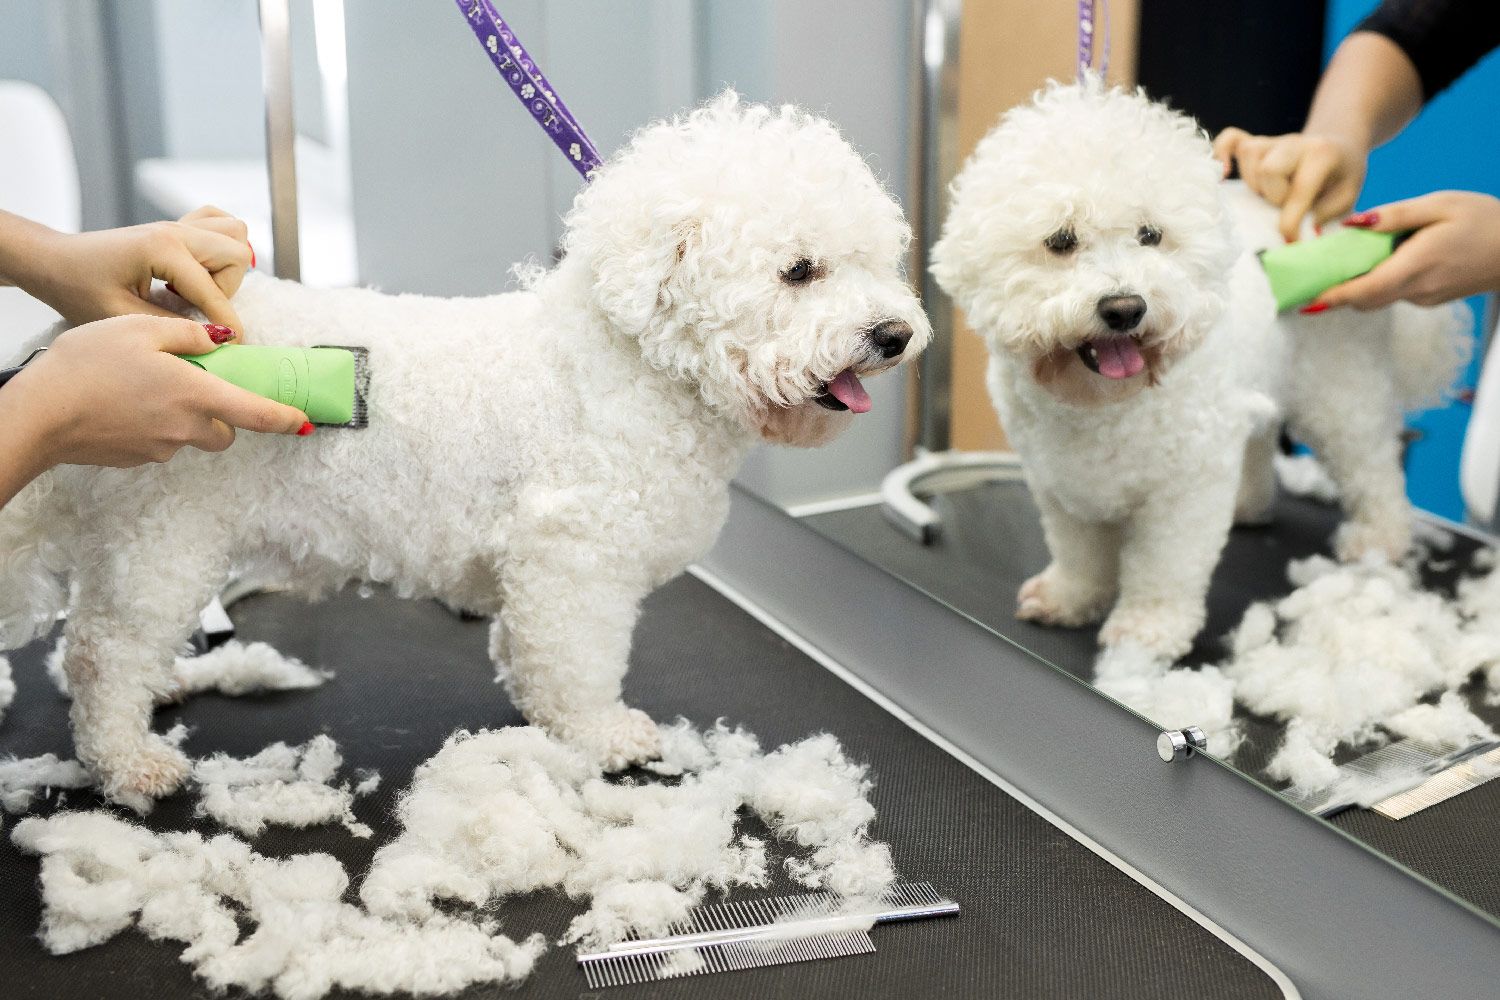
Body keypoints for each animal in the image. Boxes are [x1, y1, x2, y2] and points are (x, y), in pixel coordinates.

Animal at [0, 93, 924, 809]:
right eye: (800, 270)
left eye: (880, 261)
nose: (897, 333)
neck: (632, 368)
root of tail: (67, 336)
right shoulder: (574, 560)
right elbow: (577, 660)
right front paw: (601, 734)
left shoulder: (532, 570)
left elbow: (528, 650)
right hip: (161, 535)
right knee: (103, 651)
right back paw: (129, 761)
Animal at [936, 82, 1464, 659]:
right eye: (1060, 240)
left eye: (1150, 234)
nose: (1126, 308)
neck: (1105, 406)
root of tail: (1331, 223)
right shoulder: (1059, 483)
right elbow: (1079, 552)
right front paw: (1070, 598)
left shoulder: (1185, 486)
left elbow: (1165, 565)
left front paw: (1147, 629)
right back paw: (1250, 503)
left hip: (1338, 384)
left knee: (1372, 463)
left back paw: (1379, 539)